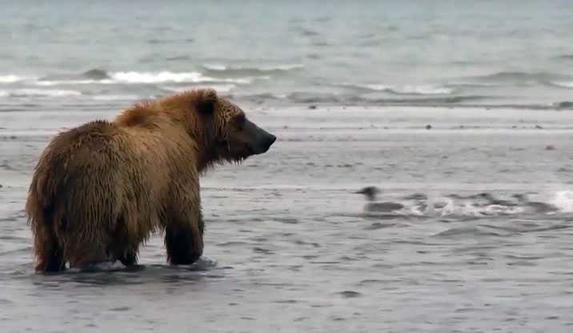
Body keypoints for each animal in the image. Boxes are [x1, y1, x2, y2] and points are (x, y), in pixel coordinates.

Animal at [25, 89, 276, 272]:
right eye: (241, 118)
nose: (269, 137)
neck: (192, 136)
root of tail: (54, 165)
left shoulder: (130, 211)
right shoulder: (176, 173)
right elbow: (185, 219)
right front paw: (192, 255)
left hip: (43, 207)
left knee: (47, 248)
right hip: (93, 191)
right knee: (89, 239)